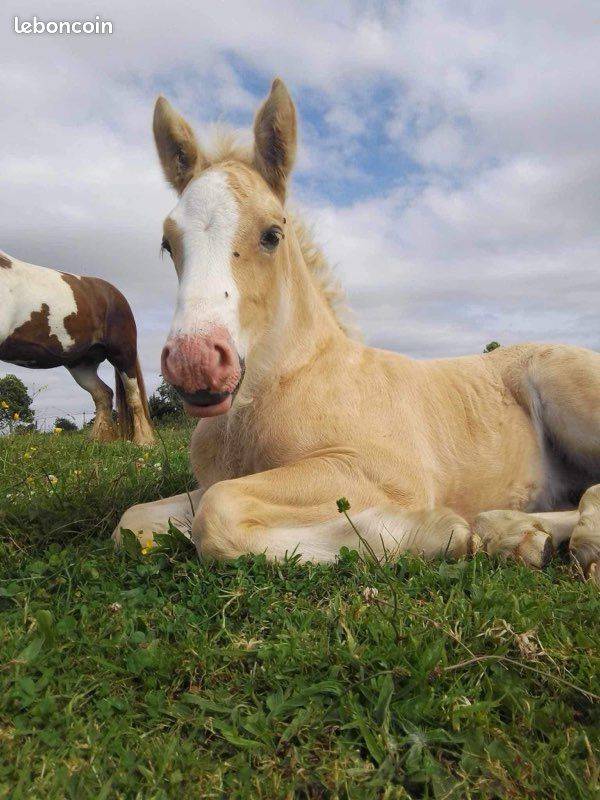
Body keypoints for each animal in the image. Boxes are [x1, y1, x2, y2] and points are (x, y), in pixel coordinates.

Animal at [0, 251, 155, 445]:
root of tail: (114, 294)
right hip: (82, 366)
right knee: (103, 394)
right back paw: (99, 440)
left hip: (122, 355)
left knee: (133, 396)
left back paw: (143, 441)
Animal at [114, 78, 599, 583]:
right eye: (168, 243)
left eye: (272, 234)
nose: (195, 362)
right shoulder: (213, 482)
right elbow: (133, 521)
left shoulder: (380, 472)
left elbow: (218, 512)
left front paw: (435, 533)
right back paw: (514, 536)